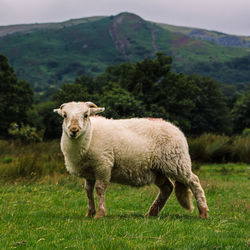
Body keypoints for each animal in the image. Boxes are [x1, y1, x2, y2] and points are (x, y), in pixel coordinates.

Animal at [54, 101, 209, 219]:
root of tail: (175, 128)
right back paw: (152, 213)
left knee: (194, 181)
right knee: (167, 187)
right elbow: (88, 191)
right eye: (64, 116)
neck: (90, 136)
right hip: (157, 169)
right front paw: (90, 213)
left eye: (86, 115)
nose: (74, 130)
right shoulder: (89, 172)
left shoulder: (103, 165)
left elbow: (99, 189)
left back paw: (203, 212)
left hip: (177, 162)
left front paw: (100, 214)